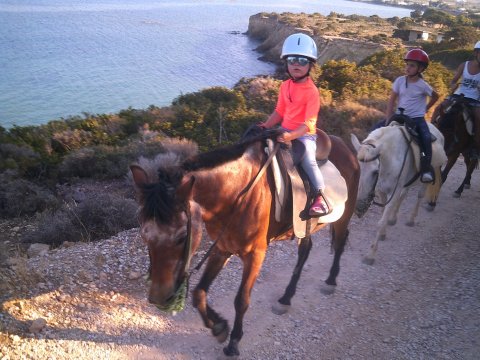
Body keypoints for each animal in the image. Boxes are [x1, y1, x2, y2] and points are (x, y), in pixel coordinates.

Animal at [129, 130, 358, 358]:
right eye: (144, 235)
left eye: (181, 237)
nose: (159, 298)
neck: (236, 195)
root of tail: (346, 148)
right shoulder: (221, 249)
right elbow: (199, 293)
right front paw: (219, 326)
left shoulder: (255, 255)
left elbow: (241, 300)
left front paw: (234, 341)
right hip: (305, 228)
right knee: (305, 251)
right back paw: (286, 298)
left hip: (344, 215)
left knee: (340, 243)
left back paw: (330, 280)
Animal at [350, 122, 448, 266]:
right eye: (356, 169)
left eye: (375, 172)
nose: (359, 208)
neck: (390, 158)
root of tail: (437, 130)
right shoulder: (382, 190)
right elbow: (384, 212)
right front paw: (384, 232)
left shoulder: (394, 191)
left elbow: (381, 222)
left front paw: (370, 255)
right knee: (404, 194)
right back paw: (393, 218)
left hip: (427, 177)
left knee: (419, 195)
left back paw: (411, 219)